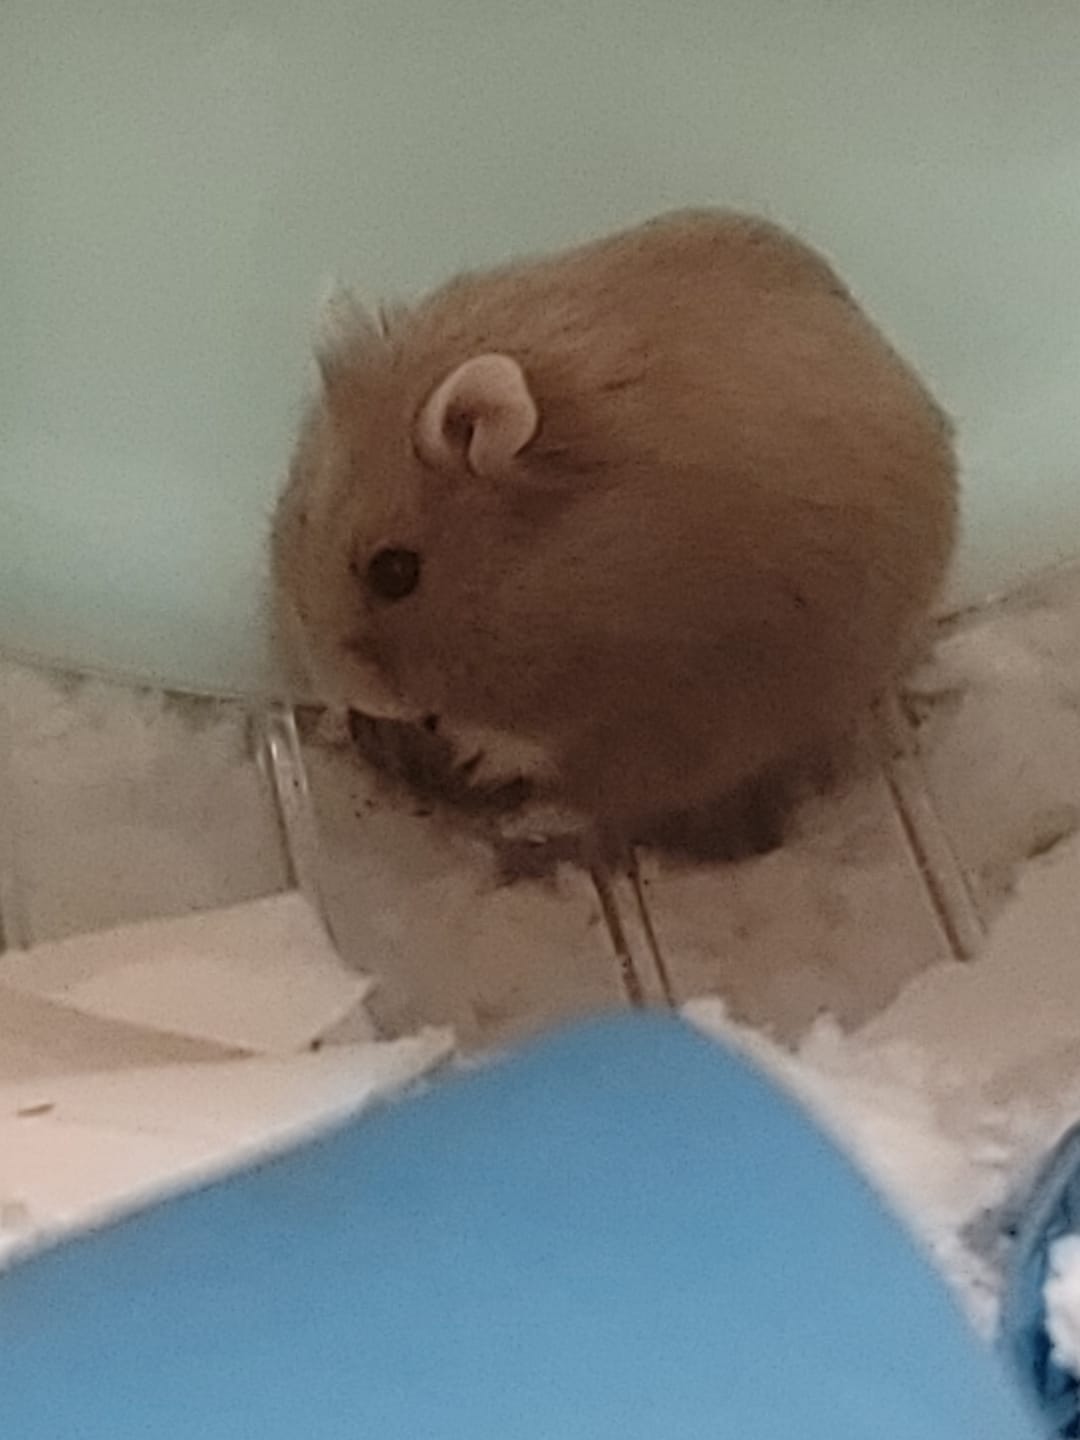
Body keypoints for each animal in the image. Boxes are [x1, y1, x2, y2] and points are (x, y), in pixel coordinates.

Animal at [271, 209, 957, 845]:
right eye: (297, 517)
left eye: (395, 572)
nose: (346, 692)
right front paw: (334, 720)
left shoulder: (640, 698)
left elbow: (543, 749)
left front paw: (477, 756)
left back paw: (518, 819)